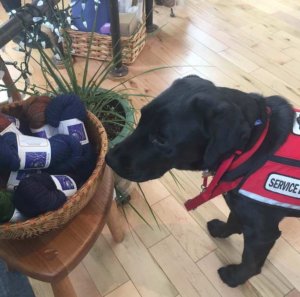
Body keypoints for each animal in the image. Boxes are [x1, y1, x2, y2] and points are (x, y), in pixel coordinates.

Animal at [106, 74, 300, 286]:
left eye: (161, 139)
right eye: (142, 118)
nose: (108, 159)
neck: (253, 144)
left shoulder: (262, 232)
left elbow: (250, 262)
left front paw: (236, 277)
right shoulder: (237, 203)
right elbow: (233, 219)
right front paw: (222, 230)